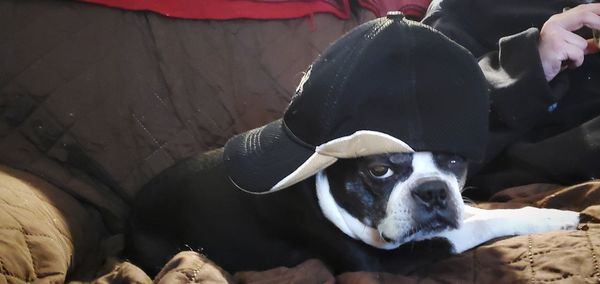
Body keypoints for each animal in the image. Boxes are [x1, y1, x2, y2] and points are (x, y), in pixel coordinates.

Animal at [127, 150, 580, 274]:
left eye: (455, 160)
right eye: (379, 170)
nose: (433, 191)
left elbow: (473, 215)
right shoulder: (384, 261)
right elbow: (475, 226)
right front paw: (555, 218)